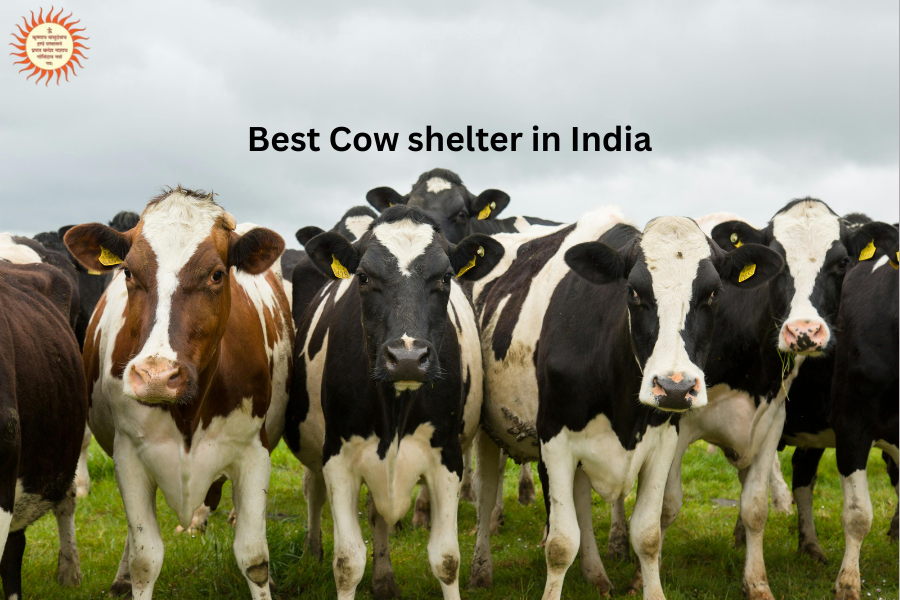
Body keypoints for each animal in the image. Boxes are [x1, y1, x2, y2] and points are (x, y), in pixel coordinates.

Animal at [64, 187, 293, 599]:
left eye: (217, 274)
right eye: (128, 272)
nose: (156, 376)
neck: (189, 412)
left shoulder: (254, 451)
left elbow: (254, 557)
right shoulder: (129, 455)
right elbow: (145, 559)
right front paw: (131, 576)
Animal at [284, 205, 503, 599]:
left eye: (445, 277)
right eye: (363, 277)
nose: (407, 357)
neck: (396, 408)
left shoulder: (447, 456)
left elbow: (446, 559)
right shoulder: (337, 457)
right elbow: (348, 562)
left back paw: (384, 579)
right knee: (314, 490)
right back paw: (312, 552)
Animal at [469, 208, 784, 599]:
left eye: (713, 294)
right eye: (633, 291)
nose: (675, 387)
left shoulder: (664, 441)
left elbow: (647, 535)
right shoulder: (554, 440)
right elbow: (560, 543)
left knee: (581, 502)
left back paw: (596, 575)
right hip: (486, 429)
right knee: (485, 494)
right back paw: (481, 571)